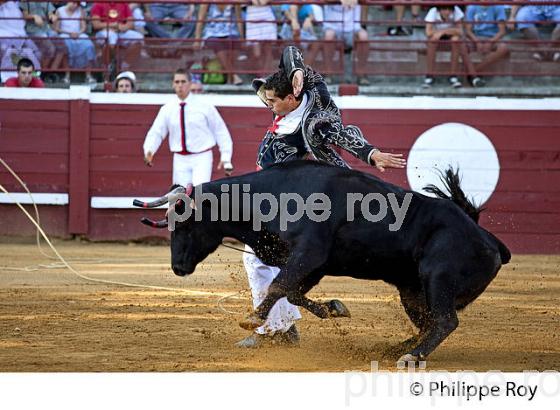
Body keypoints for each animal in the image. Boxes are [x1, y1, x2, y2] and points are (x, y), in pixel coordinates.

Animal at [135, 162, 508, 364]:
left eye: (185, 223)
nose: (178, 267)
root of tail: (491, 243)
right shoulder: (312, 264)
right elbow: (291, 291)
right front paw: (334, 308)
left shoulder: (309, 254)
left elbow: (278, 285)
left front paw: (250, 319)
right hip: (412, 290)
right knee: (427, 324)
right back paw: (398, 348)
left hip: (437, 278)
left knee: (445, 322)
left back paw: (411, 356)